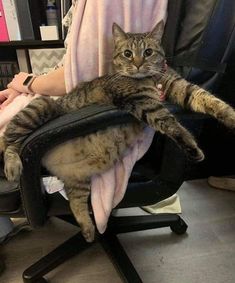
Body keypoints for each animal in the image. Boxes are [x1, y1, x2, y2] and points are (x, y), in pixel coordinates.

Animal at [0, 22, 234, 244]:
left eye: (148, 52)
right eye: (127, 53)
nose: (138, 63)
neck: (153, 80)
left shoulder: (183, 88)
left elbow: (210, 99)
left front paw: (231, 116)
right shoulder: (143, 102)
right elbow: (170, 122)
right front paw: (192, 147)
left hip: (78, 180)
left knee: (75, 202)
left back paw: (88, 230)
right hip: (40, 109)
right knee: (10, 140)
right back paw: (12, 166)